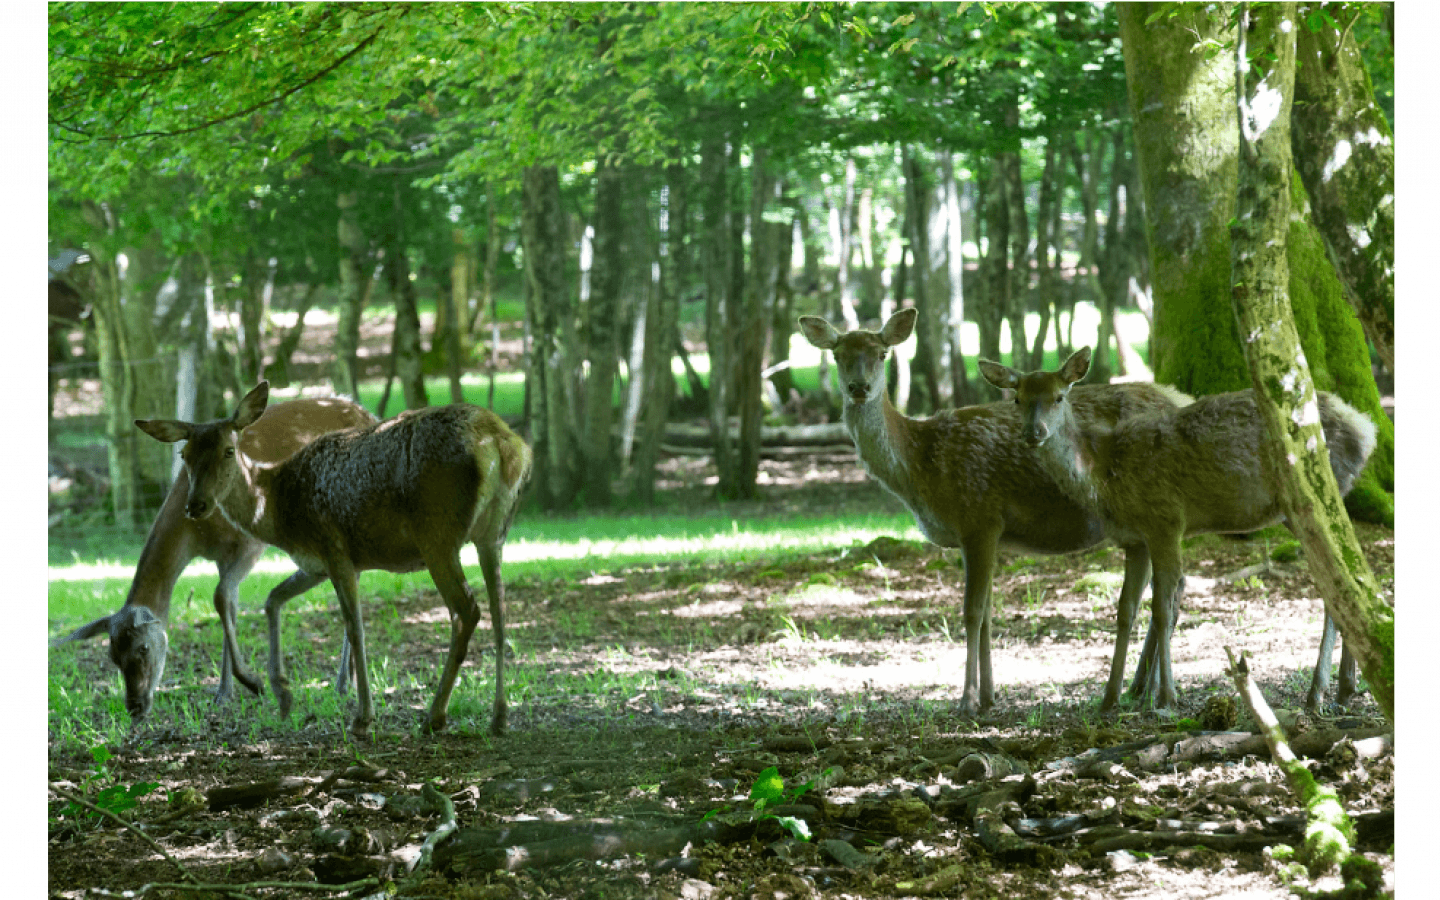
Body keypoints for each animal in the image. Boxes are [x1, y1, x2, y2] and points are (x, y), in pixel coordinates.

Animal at [53, 397, 374, 720]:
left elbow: (220, 597)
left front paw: (250, 682)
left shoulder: (249, 543)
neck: (197, 537)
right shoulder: (221, 557)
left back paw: (342, 683)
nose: (135, 707)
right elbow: (228, 606)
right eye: (112, 655)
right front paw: (225, 692)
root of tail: (368, 413)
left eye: (143, 648)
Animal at [136, 380, 535, 737]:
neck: (277, 509)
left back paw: (434, 717)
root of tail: (502, 443)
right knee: (500, 611)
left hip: (437, 534)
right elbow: (273, 600)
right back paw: (499, 717)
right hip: (494, 533)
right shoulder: (316, 563)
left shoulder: (334, 547)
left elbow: (355, 628)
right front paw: (280, 692)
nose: (196, 505)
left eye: (228, 450)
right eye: (184, 456)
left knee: (466, 611)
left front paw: (362, 718)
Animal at [800, 308, 1192, 717]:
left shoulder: (980, 516)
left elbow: (972, 612)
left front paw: (967, 700)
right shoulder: (978, 533)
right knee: (1172, 588)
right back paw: (1140, 687)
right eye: (837, 355)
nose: (858, 388)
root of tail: (1180, 398)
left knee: (1170, 589)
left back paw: (1144, 690)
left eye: (882, 354)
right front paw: (989, 696)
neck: (922, 464)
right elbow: (988, 612)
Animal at [979, 347, 1370, 711]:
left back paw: (1318, 692)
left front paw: (1166, 696)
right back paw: (1345, 688)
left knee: (1335, 585)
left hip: (1311, 498)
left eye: (1059, 396)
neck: (1103, 470)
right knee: (1351, 570)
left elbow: (1162, 610)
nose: (1033, 433)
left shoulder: (1165, 521)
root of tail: (1366, 430)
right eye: (1018, 398)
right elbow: (1126, 611)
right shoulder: (1133, 540)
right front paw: (1110, 698)